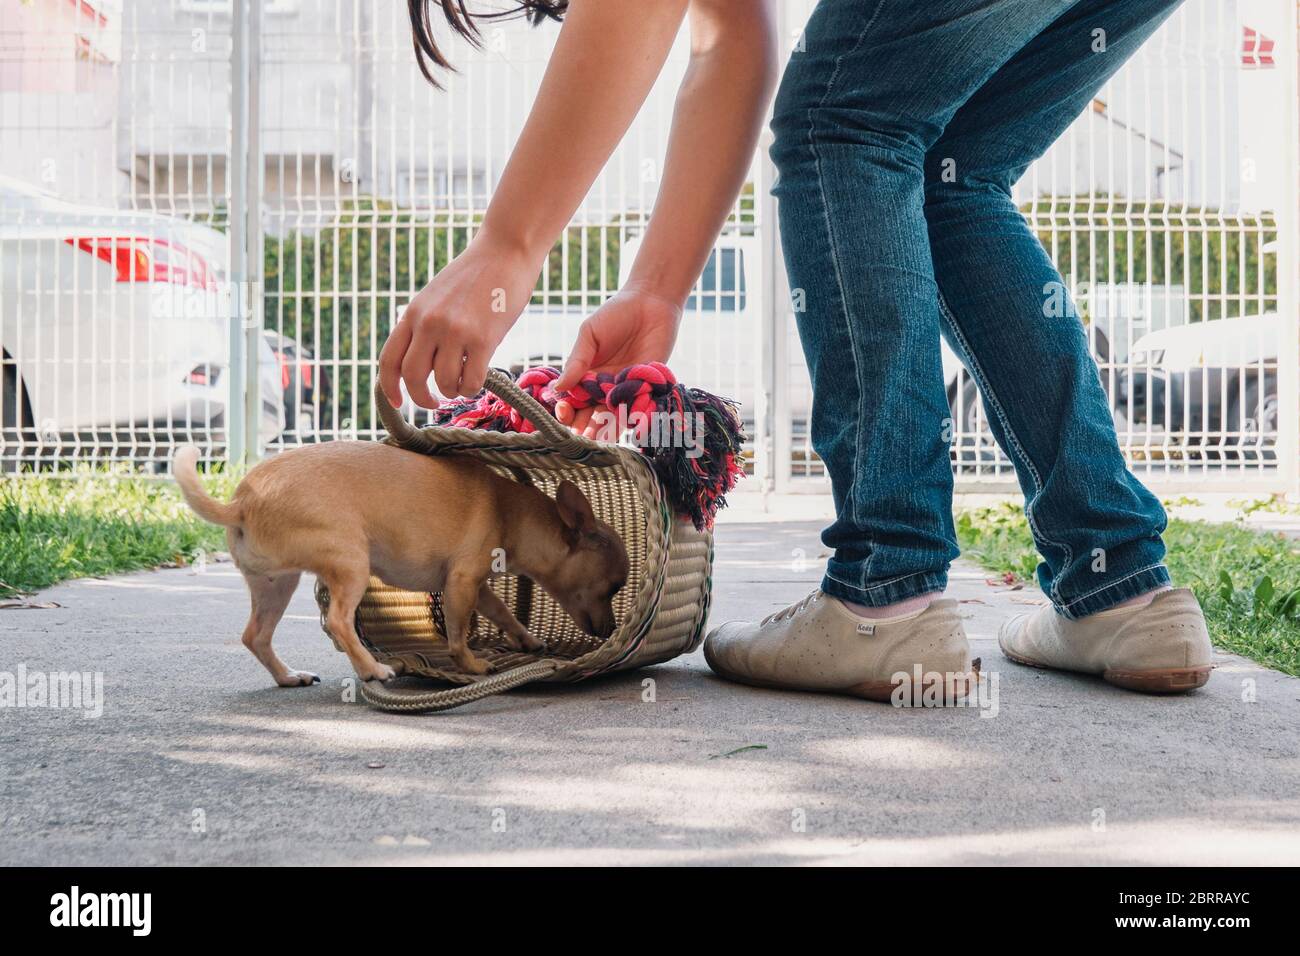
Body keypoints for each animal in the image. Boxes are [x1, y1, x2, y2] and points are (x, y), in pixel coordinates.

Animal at [172, 442, 629, 686]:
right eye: (612, 588)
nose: (610, 628)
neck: (512, 512)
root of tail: (242, 501)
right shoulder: (462, 582)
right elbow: (458, 636)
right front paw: (473, 665)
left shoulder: (478, 587)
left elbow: (501, 611)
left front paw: (527, 639)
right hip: (352, 563)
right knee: (339, 621)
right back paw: (373, 668)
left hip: (275, 585)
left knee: (256, 635)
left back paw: (288, 677)